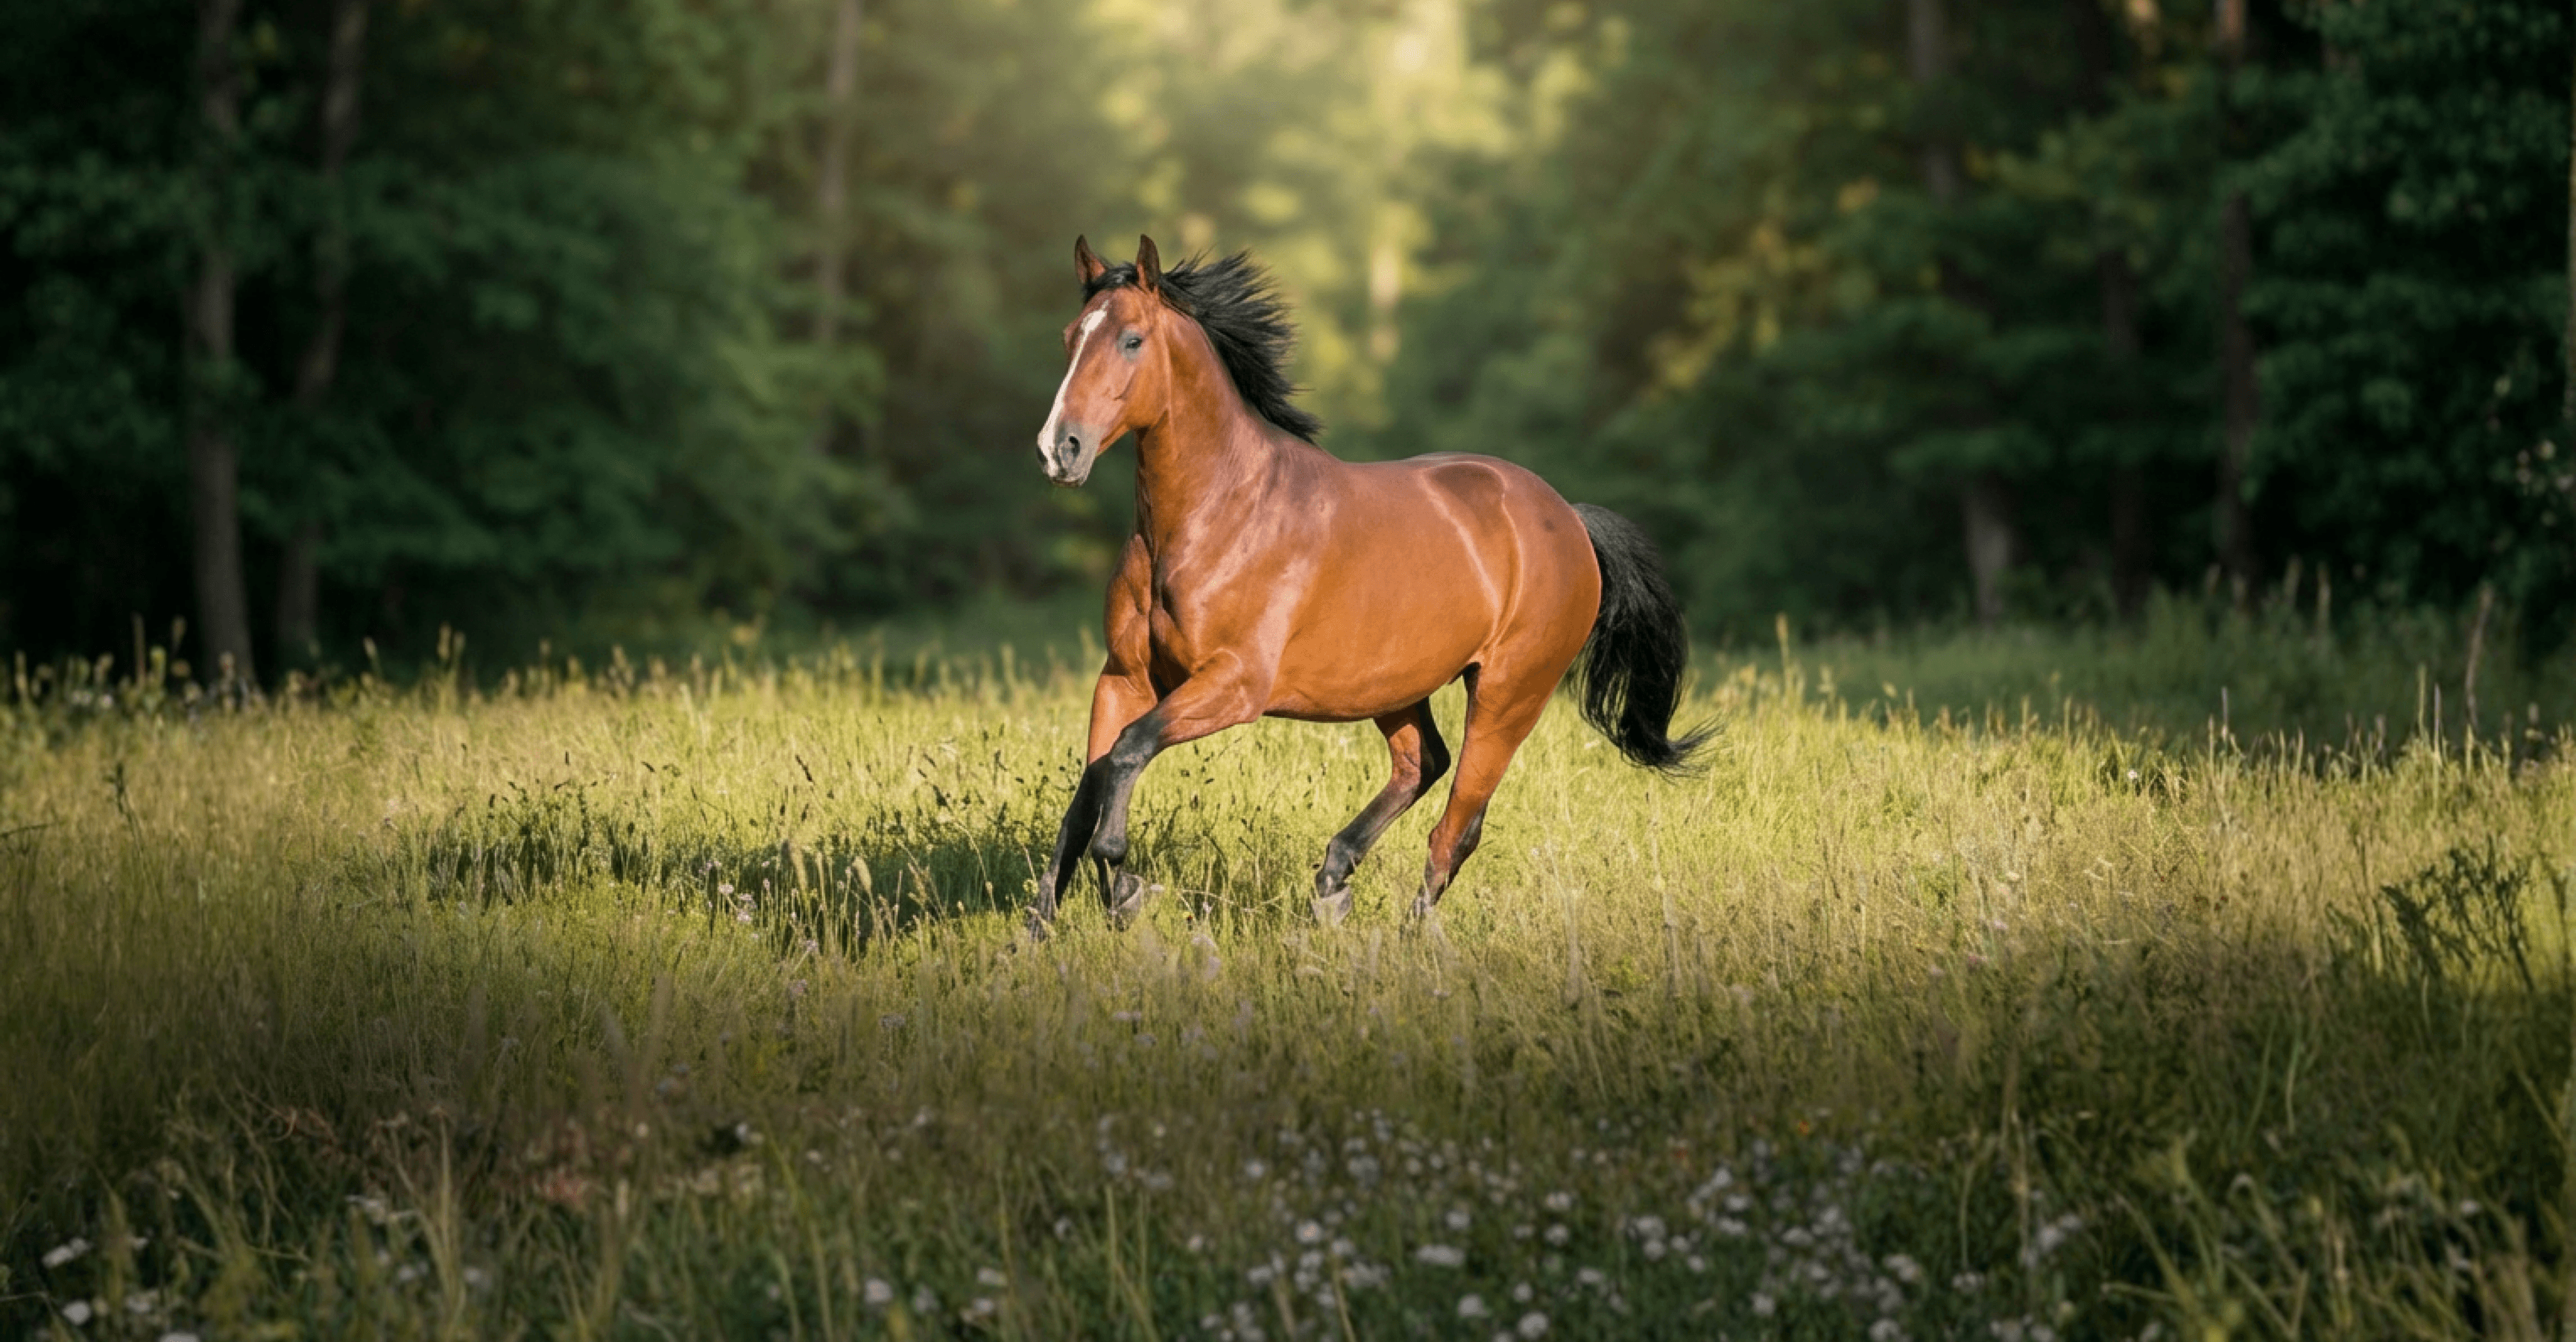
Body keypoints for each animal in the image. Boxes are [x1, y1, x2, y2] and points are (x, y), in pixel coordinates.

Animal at [1028, 234, 1707, 933]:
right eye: (1071, 337)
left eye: (1132, 339)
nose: (1059, 449)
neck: (1213, 517)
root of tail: (1570, 519)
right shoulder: (1125, 677)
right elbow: (1088, 792)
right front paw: (1041, 926)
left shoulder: (1234, 685)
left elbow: (1128, 754)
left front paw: (1123, 884)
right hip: (1394, 685)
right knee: (1423, 763)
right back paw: (1333, 882)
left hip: (1508, 695)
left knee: (1457, 828)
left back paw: (1407, 934)